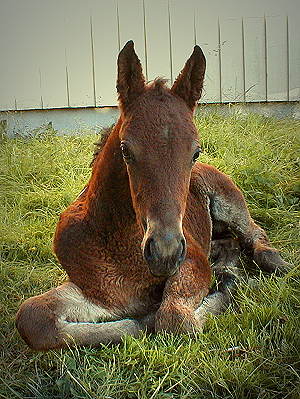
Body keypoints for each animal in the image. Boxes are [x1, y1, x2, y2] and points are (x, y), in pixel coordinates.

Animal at [15, 42, 288, 352]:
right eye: (125, 150)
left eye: (195, 152)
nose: (164, 251)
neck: (120, 245)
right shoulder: (102, 291)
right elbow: (33, 318)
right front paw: (142, 320)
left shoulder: (191, 261)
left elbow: (174, 320)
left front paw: (225, 288)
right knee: (229, 243)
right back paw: (226, 265)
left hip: (228, 200)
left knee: (254, 234)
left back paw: (272, 263)